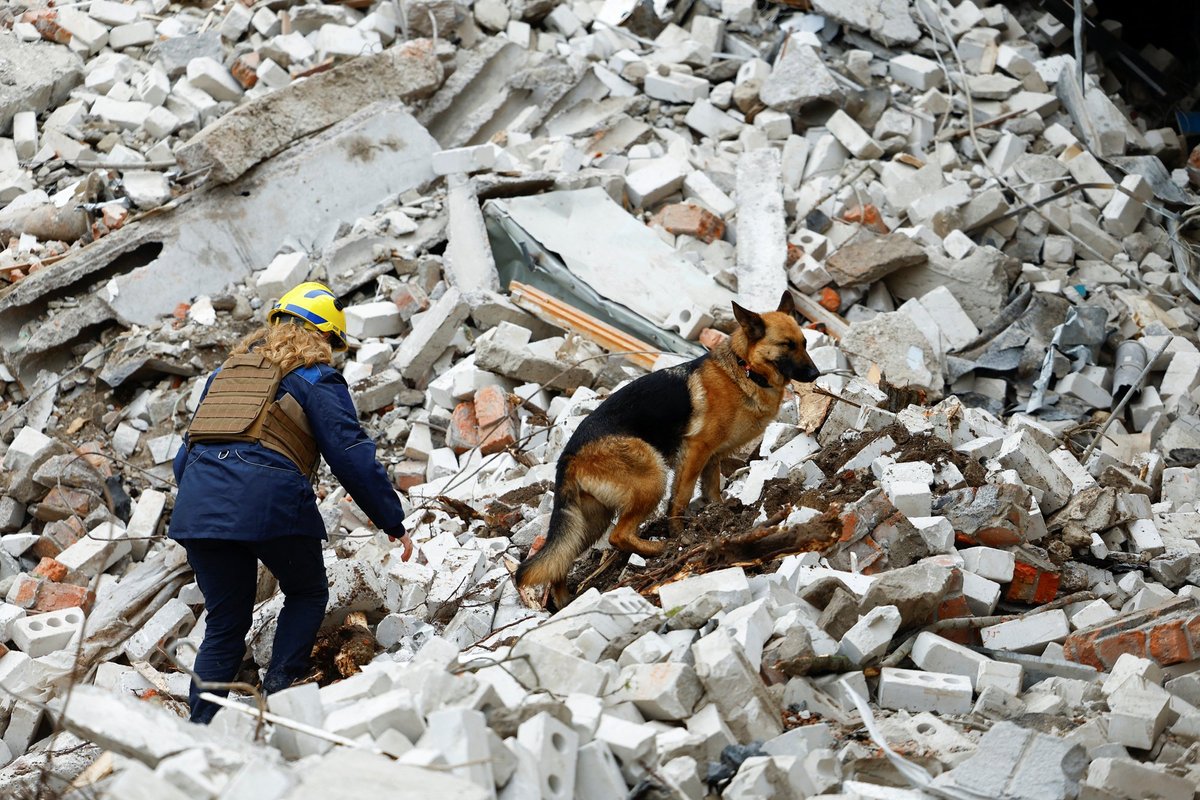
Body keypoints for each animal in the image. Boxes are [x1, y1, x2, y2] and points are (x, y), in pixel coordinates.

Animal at [511, 292, 820, 606]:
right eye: (787, 345)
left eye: (805, 343)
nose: (816, 373)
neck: (744, 368)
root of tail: (568, 457)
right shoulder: (696, 450)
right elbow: (680, 497)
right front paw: (682, 534)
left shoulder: (713, 458)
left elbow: (712, 491)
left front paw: (723, 514)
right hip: (652, 479)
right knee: (618, 536)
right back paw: (662, 549)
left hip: (590, 520)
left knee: (562, 557)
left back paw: (565, 600)